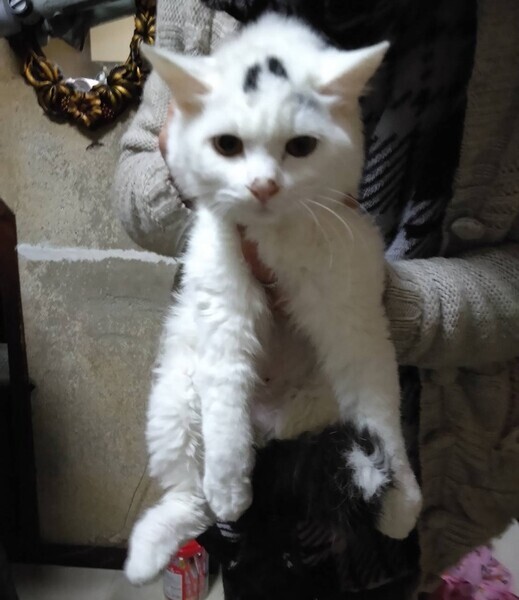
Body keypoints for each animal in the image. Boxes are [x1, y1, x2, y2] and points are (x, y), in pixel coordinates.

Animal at [124, 13, 422, 585]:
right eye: (227, 145)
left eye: (301, 146)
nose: (263, 186)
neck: (277, 236)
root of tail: (268, 432)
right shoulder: (223, 316)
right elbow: (225, 412)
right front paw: (230, 484)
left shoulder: (357, 326)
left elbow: (381, 415)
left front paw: (401, 500)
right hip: (174, 402)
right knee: (192, 494)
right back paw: (151, 551)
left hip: (316, 406)